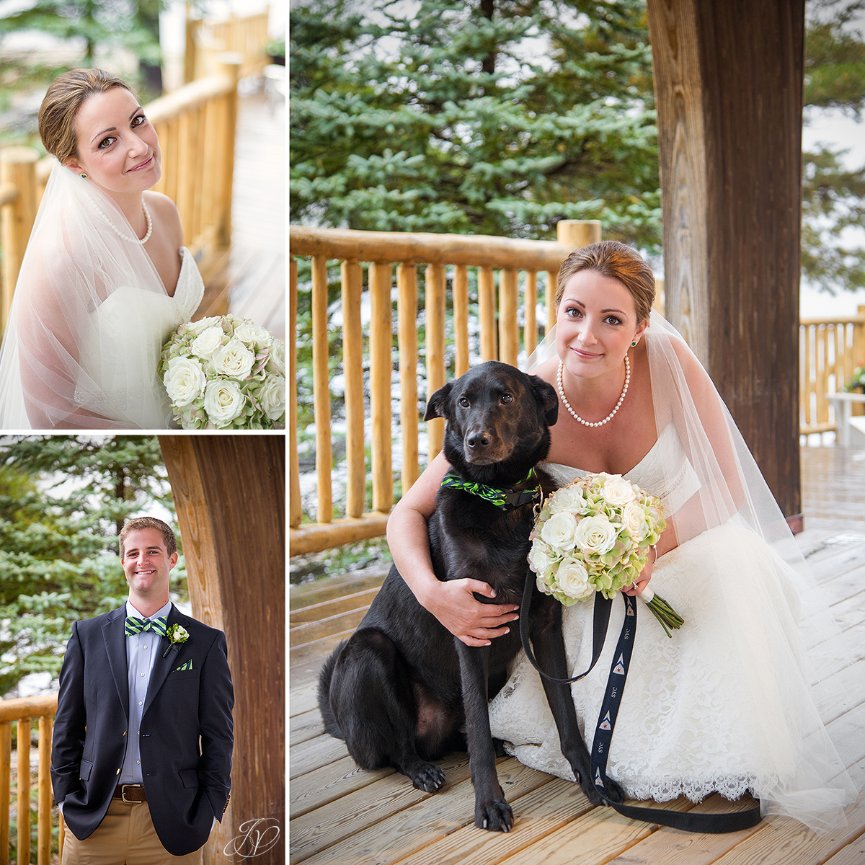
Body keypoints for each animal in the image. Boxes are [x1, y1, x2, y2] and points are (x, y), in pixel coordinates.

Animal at [318, 360, 620, 832]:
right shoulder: (469, 629)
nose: (477, 440)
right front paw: (489, 803)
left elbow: (566, 716)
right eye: (463, 402)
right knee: (400, 747)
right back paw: (421, 768)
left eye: (507, 397)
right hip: (369, 651)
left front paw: (591, 781)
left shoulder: (544, 628)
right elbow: (478, 724)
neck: (503, 500)